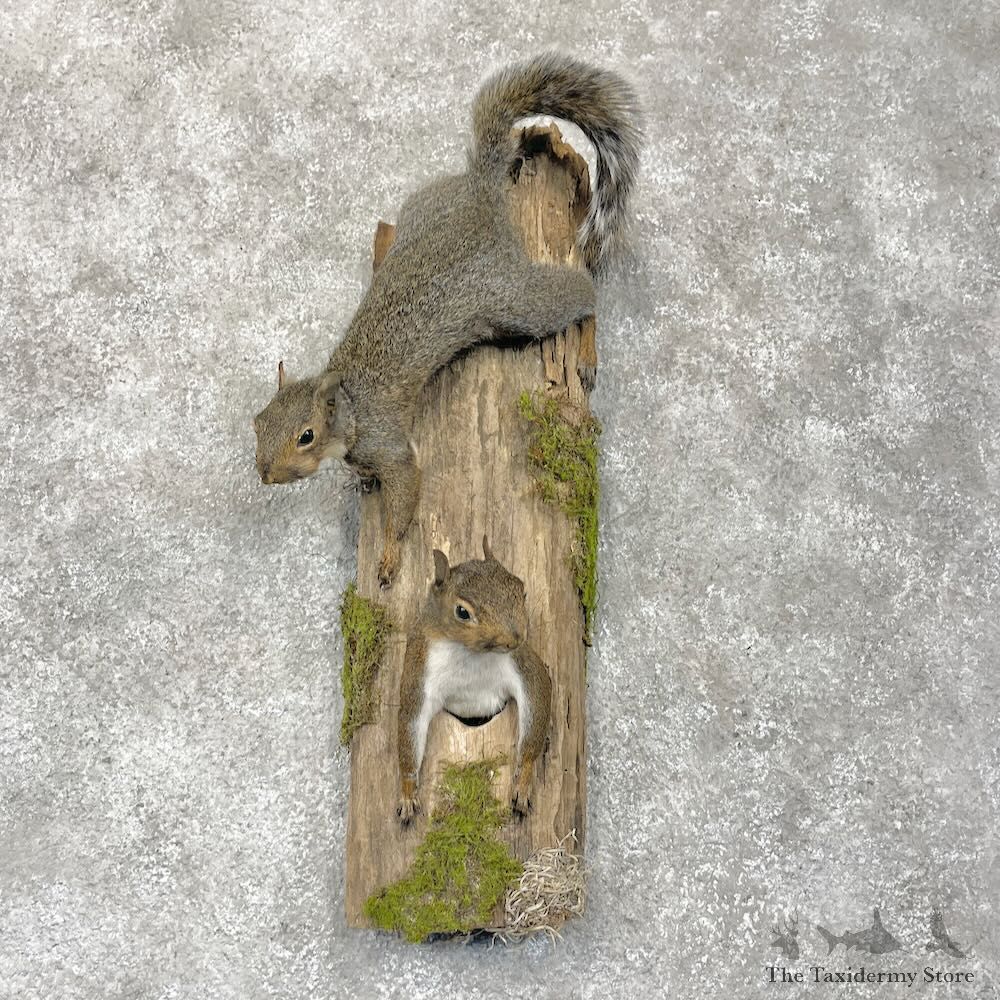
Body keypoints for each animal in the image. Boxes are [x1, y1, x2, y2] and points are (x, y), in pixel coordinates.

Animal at [253, 53, 641, 585]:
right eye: (258, 421)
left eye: (305, 436)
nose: (265, 473)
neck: (348, 403)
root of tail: (480, 191)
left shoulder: (388, 443)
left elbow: (405, 489)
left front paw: (390, 556)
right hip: (420, 206)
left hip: (513, 300)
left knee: (581, 292)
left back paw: (585, 341)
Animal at [395, 538, 552, 825]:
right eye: (462, 612)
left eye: (521, 589)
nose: (515, 638)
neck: (470, 654)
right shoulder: (420, 671)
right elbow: (410, 722)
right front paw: (408, 794)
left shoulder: (522, 665)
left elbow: (537, 694)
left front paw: (523, 782)